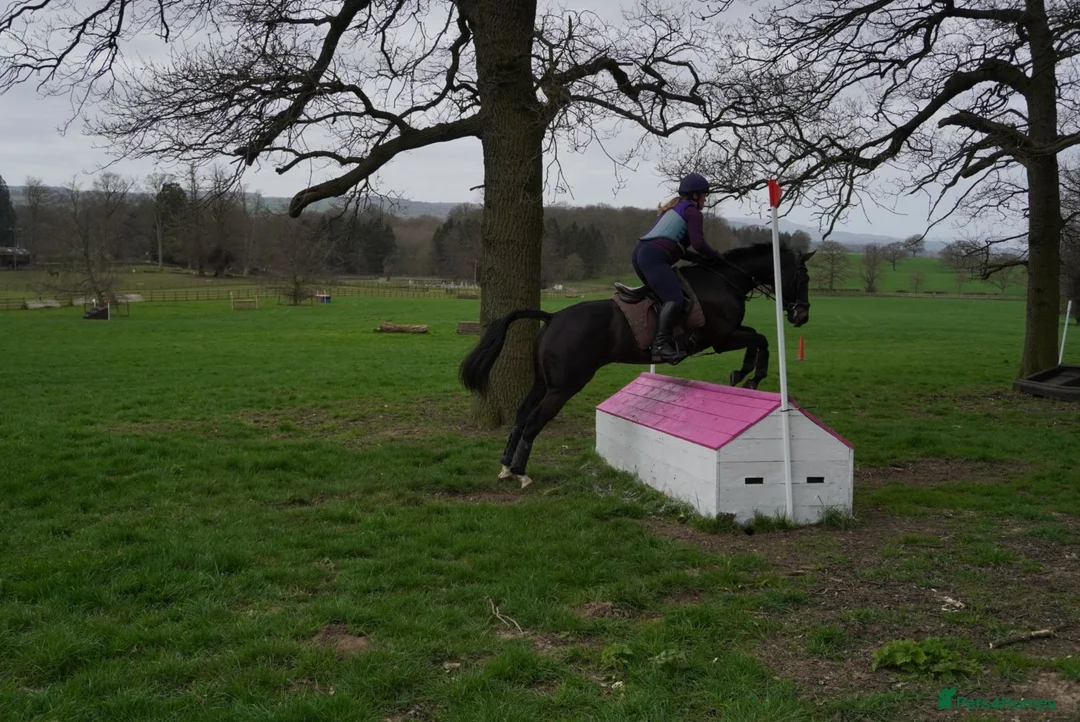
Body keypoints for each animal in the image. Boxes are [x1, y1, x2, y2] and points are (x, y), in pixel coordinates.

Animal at [458, 242, 815, 488]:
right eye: (803, 277)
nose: (801, 316)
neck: (725, 279)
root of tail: (553, 316)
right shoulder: (723, 336)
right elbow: (761, 340)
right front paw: (750, 376)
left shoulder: (727, 336)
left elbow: (757, 339)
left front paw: (743, 374)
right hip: (565, 386)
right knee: (534, 421)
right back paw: (521, 473)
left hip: (543, 382)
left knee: (522, 415)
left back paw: (506, 466)